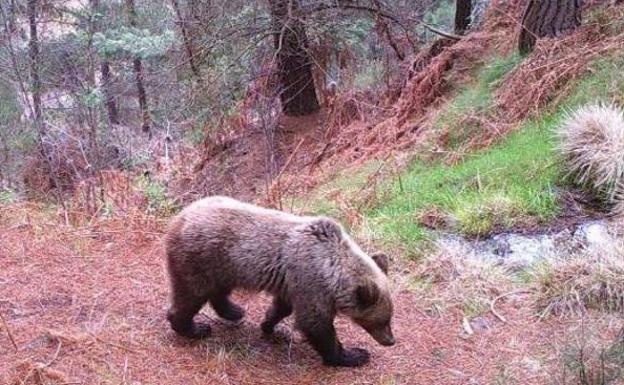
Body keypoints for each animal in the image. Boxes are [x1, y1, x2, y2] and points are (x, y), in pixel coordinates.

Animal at [163, 195, 392, 366]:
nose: (391, 340)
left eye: (389, 318)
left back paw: (234, 311)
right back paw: (195, 328)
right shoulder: (311, 282)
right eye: (383, 320)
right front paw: (354, 354)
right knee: (191, 294)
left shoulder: (293, 284)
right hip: (200, 258)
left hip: (223, 265)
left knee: (218, 291)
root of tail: (179, 217)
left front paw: (270, 326)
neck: (331, 269)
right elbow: (315, 324)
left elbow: (282, 307)